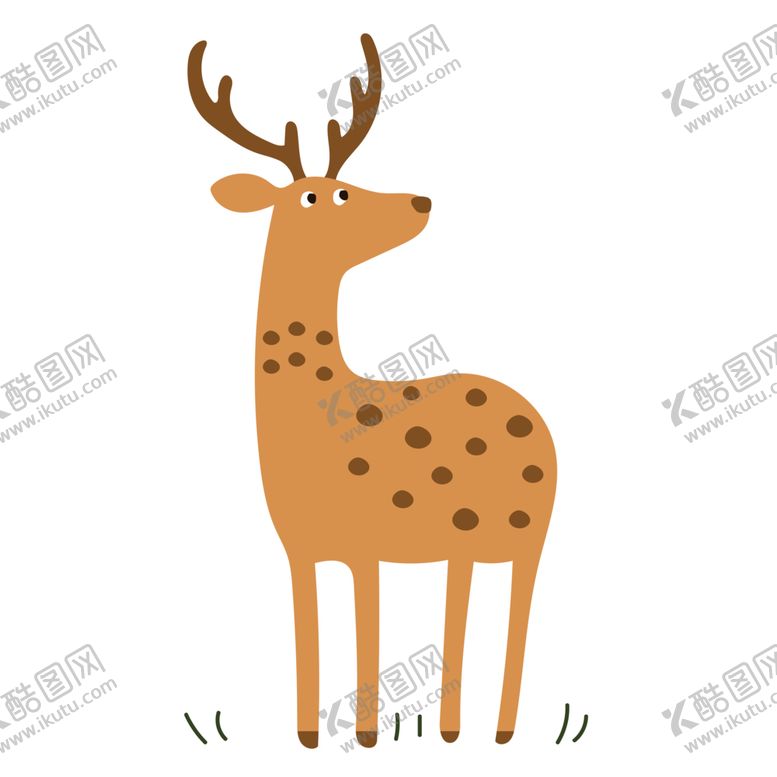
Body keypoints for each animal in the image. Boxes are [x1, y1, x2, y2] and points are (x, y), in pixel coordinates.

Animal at [187, 32, 557, 748]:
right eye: (324, 196)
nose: (420, 201)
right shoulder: (301, 549)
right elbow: (309, 629)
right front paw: (307, 735)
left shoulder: (367, 547)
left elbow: (368, 630)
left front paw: (362, 736)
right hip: (468, 540)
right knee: (465, 598)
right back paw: (454, 729)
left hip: (532, 534)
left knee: (519, 608)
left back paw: (496, 732)